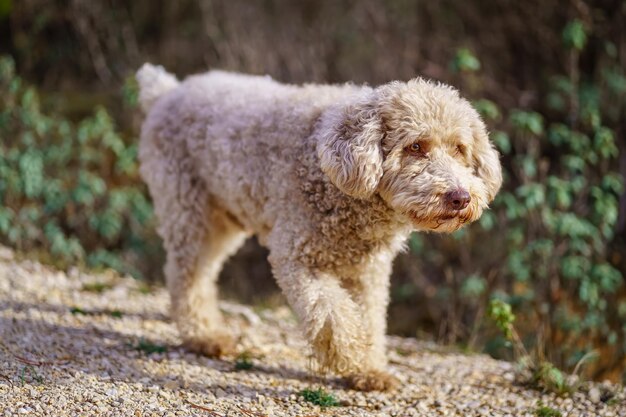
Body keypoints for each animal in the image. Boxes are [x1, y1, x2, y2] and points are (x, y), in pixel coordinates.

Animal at [134, 64, 500, 390]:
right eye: (415, 146)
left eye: (459, 149)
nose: (460, 197)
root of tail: (166, 91)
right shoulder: (297, 258)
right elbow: (333, 316)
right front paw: (352, 357)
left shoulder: (368, 273)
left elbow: (369, 319)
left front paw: (369, 371)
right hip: (187, 209)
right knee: (186, 273)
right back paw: (204, 335)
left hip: (223, 220)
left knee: (203, 271)